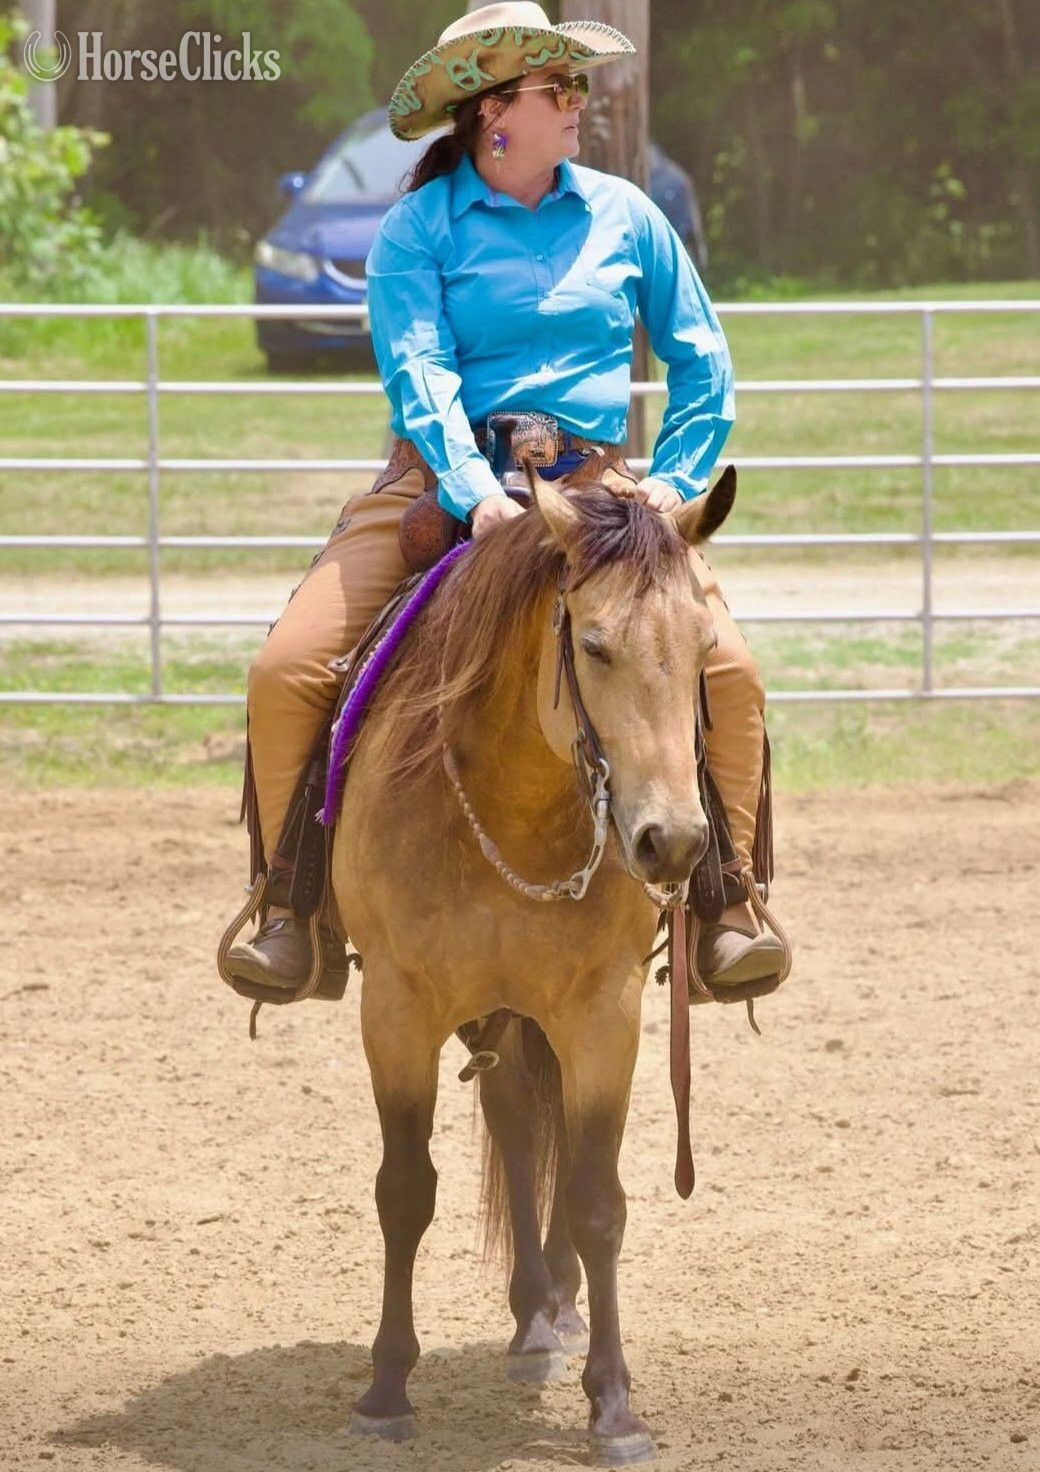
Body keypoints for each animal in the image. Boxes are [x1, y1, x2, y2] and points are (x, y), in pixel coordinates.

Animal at [331, 465, 736, 1465]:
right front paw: (386, 1390)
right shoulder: (395, 1010)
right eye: (592, 645)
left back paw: (550, 1310)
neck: (511, 801)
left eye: (704, 646)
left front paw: (615, 1407)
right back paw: (532, 1313)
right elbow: (405, 1191)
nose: (671, 841)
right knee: (516, 1123)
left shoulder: (604, 1014)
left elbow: (597, 1201)